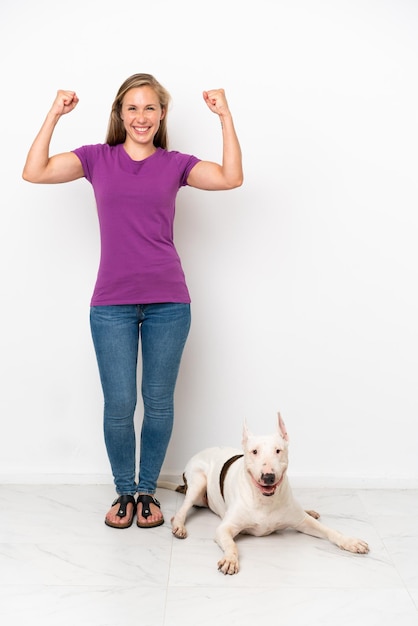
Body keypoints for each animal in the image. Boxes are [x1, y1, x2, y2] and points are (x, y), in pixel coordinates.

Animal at [160, 412, 370, 572]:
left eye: (278, 450)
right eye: (254, 452)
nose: (268, 476)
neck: (265, 501)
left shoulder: (302, 522)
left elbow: (330, 531)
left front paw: (350, 542)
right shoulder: (224, 528)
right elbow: (231, 544)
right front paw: (230, 559)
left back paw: (310, 511)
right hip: (198, 482)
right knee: (182, 510)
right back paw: (179, 525)